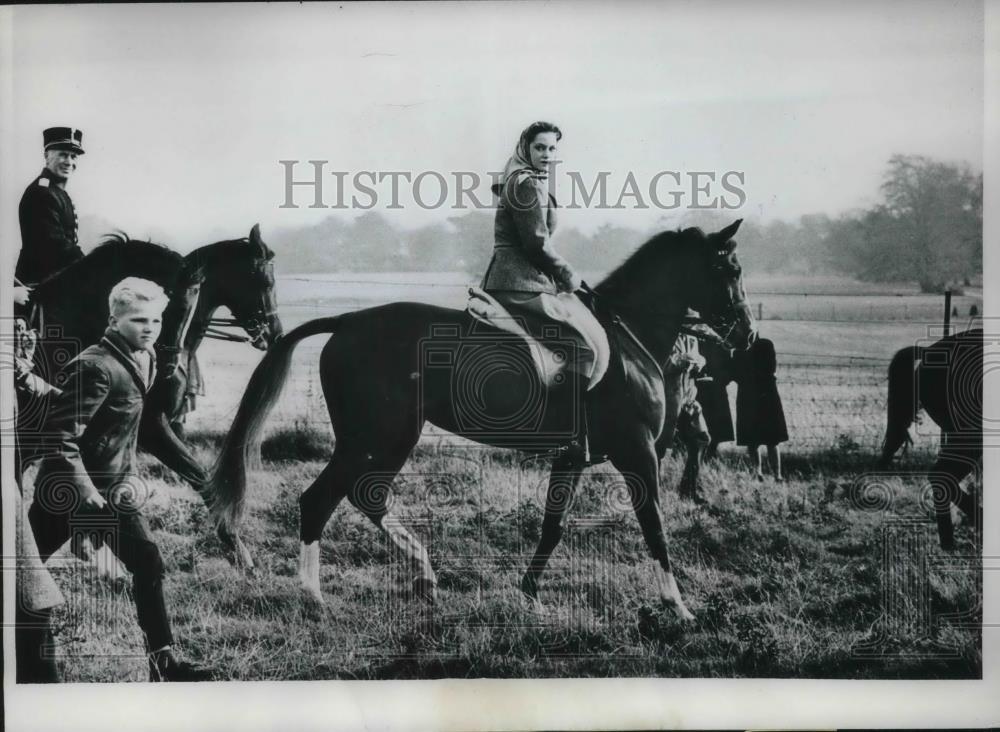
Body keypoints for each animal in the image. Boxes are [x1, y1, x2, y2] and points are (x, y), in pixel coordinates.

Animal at [213, 219, 756, 616]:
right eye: (729, 270)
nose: (747, 334)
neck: (628, 336)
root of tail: (347, 321)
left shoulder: (573, 458)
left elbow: (553, 526)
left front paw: (529, 594)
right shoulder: (637, 453)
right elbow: (655, 526)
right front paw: (678, 606)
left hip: (384, 438)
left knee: (367, 498)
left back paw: (424, 575)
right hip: (378, 436)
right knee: (320, 499)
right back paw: (313, 597)